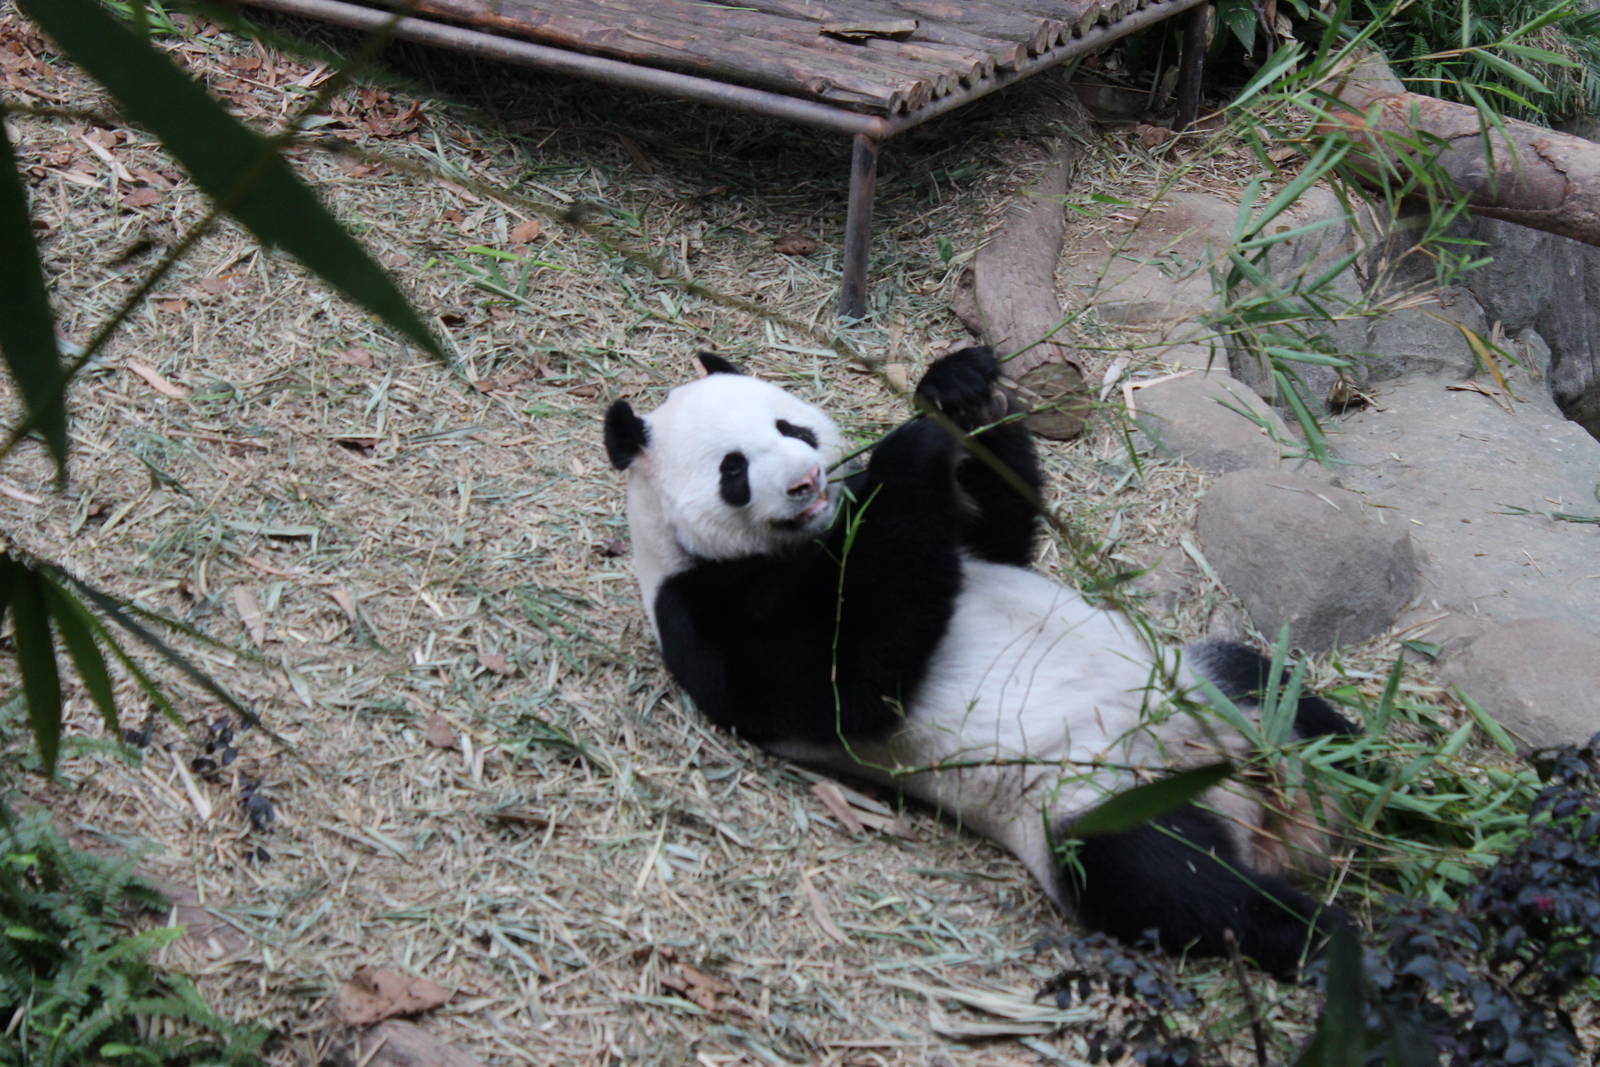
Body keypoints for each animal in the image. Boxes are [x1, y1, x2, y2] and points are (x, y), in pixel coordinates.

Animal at [604, 346, 1355, 977]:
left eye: (792, 427)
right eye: (732, 470)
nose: (807, 480)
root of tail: (1260, 813)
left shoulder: (950, 541)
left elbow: (997, 529)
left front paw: (955, 391)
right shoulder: (705, 612)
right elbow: (845, 685)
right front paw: (910, 448)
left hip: (1213, 687)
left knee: (1294, 704)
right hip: (1093, 792)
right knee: (1179, 884)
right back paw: (1339, 941)